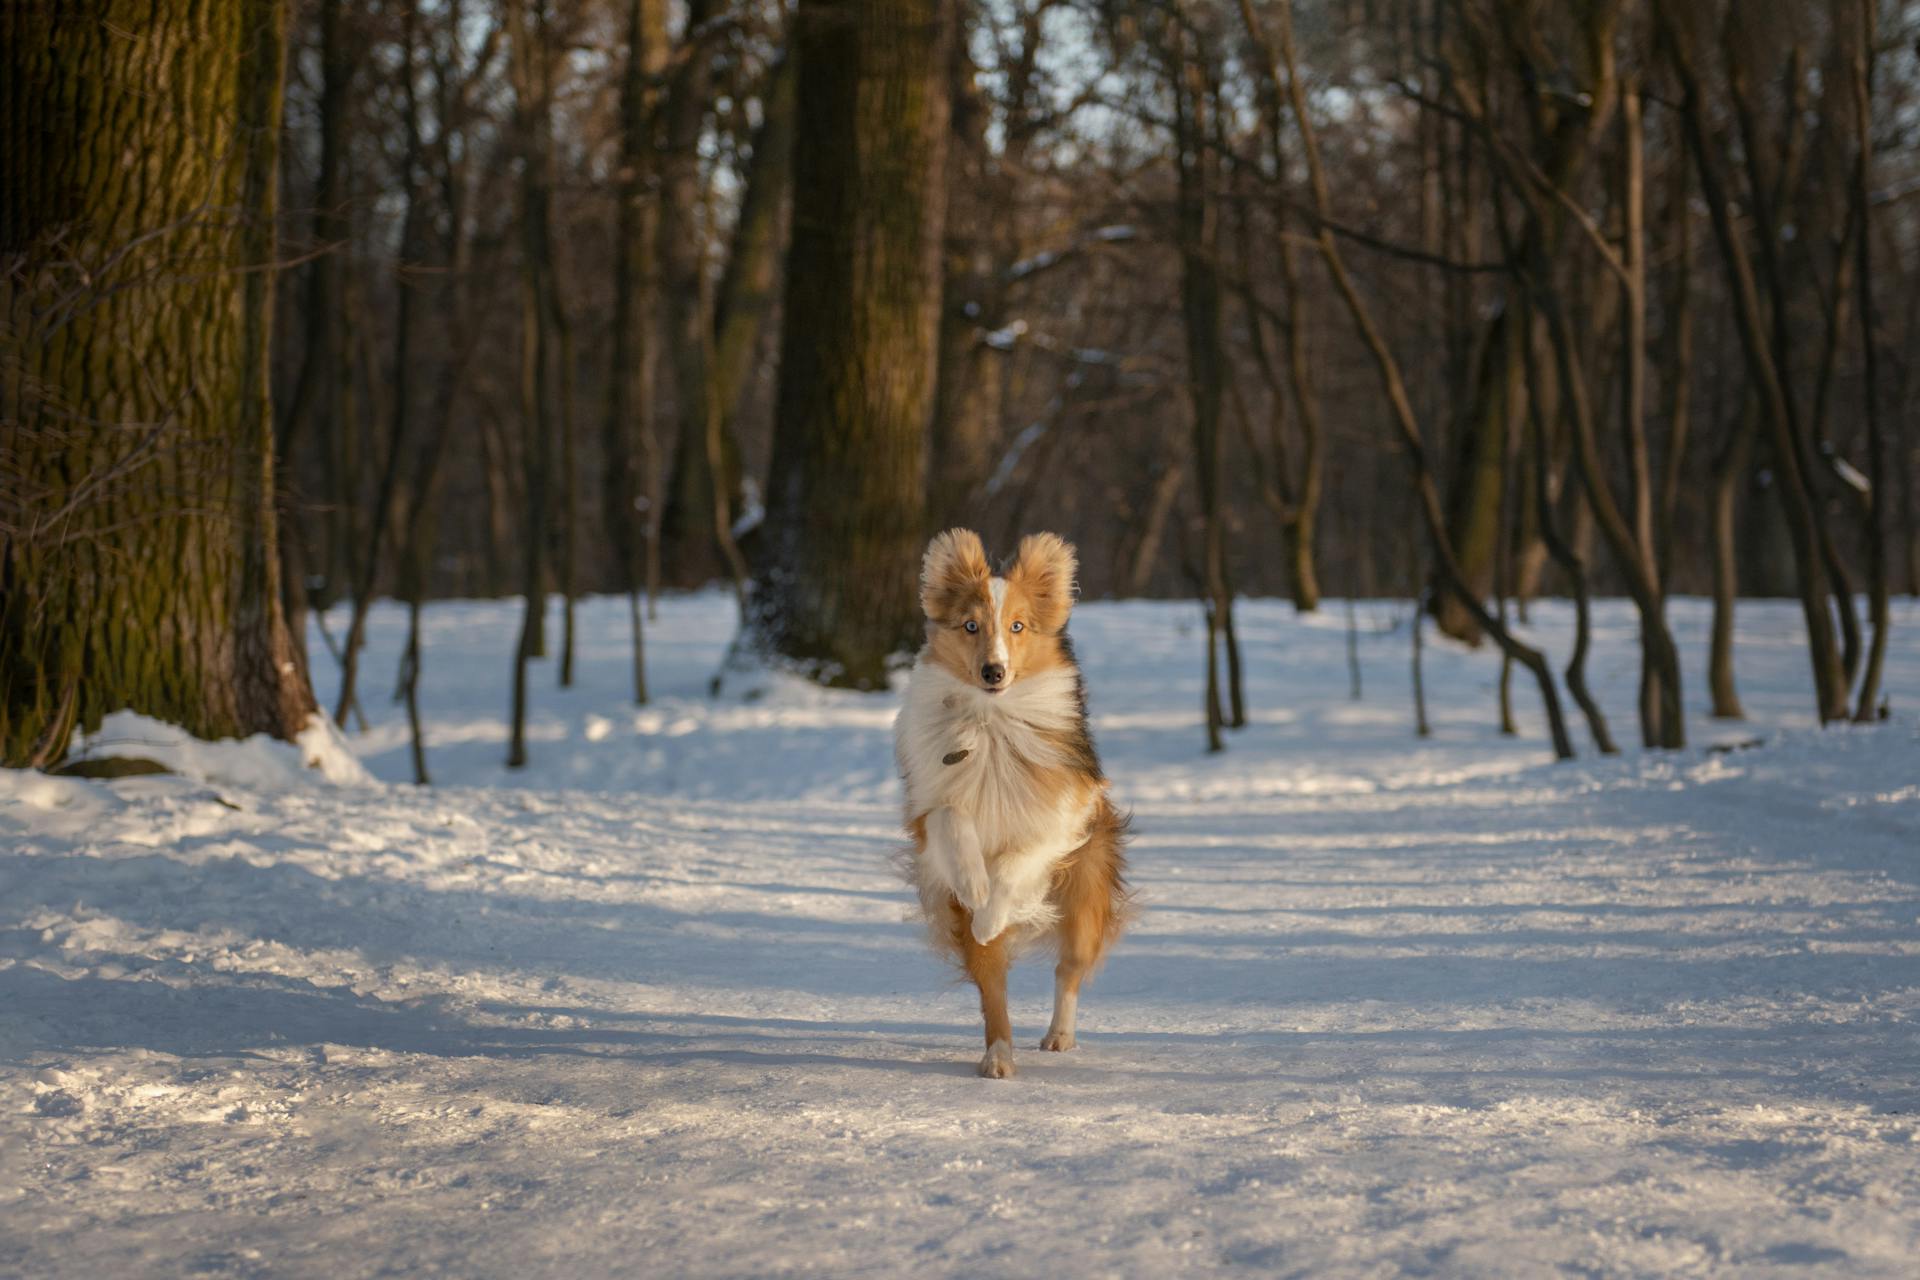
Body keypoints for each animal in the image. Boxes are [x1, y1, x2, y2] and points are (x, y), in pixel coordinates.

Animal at [894, 529, 1128, 1082]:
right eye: (970, 625)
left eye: (1018, 626)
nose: (993, 671)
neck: (989, 718)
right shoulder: (929, 807)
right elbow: (953, 818)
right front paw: (974, 885)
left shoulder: (1060, 817)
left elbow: (1017, 860)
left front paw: (991, 902)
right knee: (993, 986)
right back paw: (999, 1054)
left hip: (1084, 896)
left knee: (1069, 969)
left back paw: (1058, 1035)